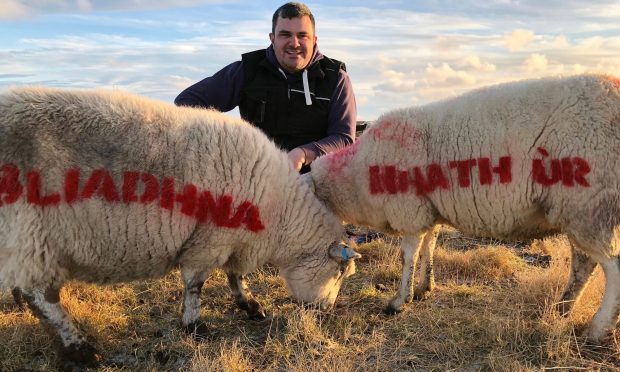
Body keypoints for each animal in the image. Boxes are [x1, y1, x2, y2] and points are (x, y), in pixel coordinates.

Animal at [0, 88, 360, 370]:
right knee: (40, 297)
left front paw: (250, 305)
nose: (325, 312)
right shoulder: (210, 239)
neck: (279, 211)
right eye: (340, 272)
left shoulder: (232, 238)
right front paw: (194, 326)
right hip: (30, 234)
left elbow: (234, 275)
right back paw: (81, 352)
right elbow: (196, 285)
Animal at [312, 73, 620, 342]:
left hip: (593, 206)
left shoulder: (410, 210)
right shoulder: (429, 211)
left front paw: (399, 301)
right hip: (579, 212)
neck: (354, 173)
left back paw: (598, 329)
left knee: (611, 265)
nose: (320, 310)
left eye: (341, 272)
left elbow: (407, 255)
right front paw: (425, 287)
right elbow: (429, 247)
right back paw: (562, 308)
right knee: (583, 263)